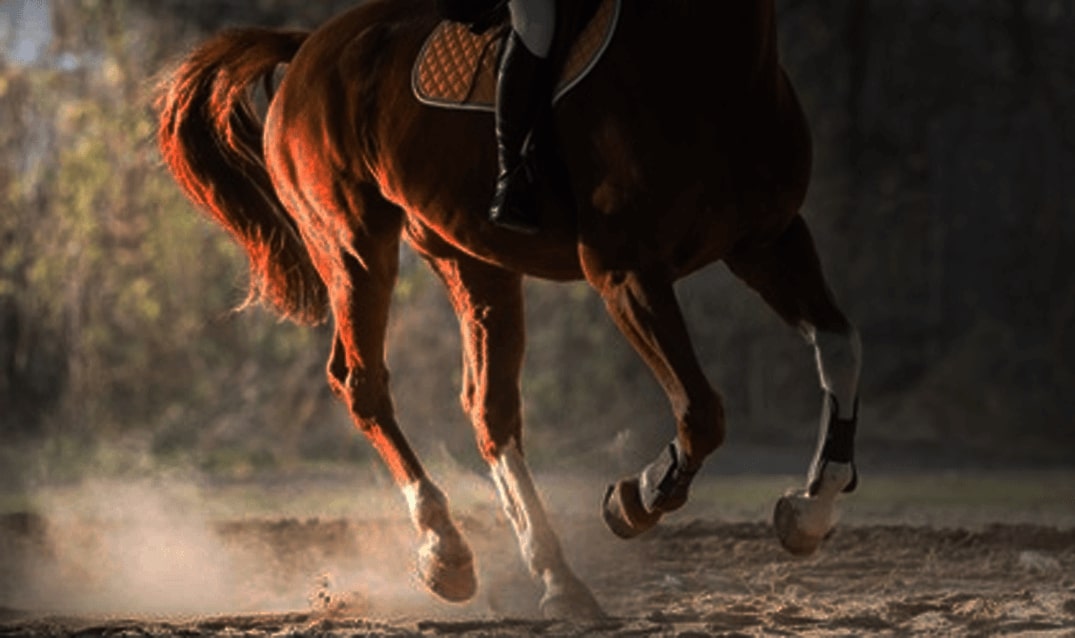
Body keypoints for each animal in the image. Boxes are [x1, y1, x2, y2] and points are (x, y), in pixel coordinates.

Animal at [156, 0, 864, 615]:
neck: (706, 56)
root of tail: (309, 47)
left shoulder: (769, 242)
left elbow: (841, 347)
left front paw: (809, 512)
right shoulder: (626, 272)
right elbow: (702, 412)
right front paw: (634, 499)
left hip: (469, 258)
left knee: (488, 409)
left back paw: (556, 579)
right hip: (353, 245)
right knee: (364, 385)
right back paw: (445, 550)